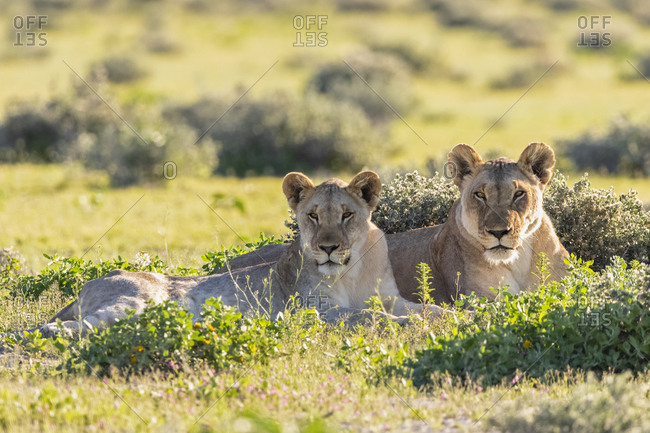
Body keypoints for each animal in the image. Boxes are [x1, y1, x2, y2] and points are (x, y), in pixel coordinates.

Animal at [38, 171, 442, 337]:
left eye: (346, 215)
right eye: (313, 216)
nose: (327, 248)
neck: (352, 268)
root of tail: (91, 282)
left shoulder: (388, 296)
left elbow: (426, 307)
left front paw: (452, 316)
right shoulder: (315, 313)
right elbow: (366, 317)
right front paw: (406, 325)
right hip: (136, 302)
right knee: (59, 327)